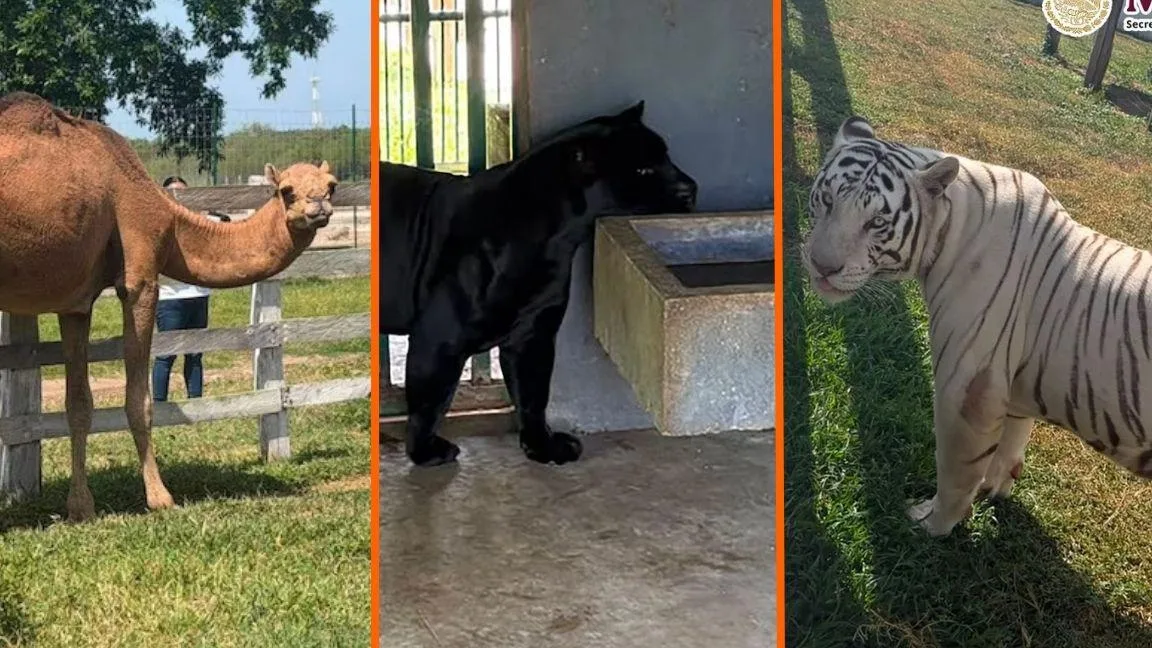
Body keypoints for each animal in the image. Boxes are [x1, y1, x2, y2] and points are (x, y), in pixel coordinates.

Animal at [802, 116, 1152, 537]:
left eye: (877, 223)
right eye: (827, 200)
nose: (821, 266)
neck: (951, 226)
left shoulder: (968, 387)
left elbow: (956, 469)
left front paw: (932, 523)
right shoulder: (1014, 381)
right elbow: (1013, 435)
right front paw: (995, 486)